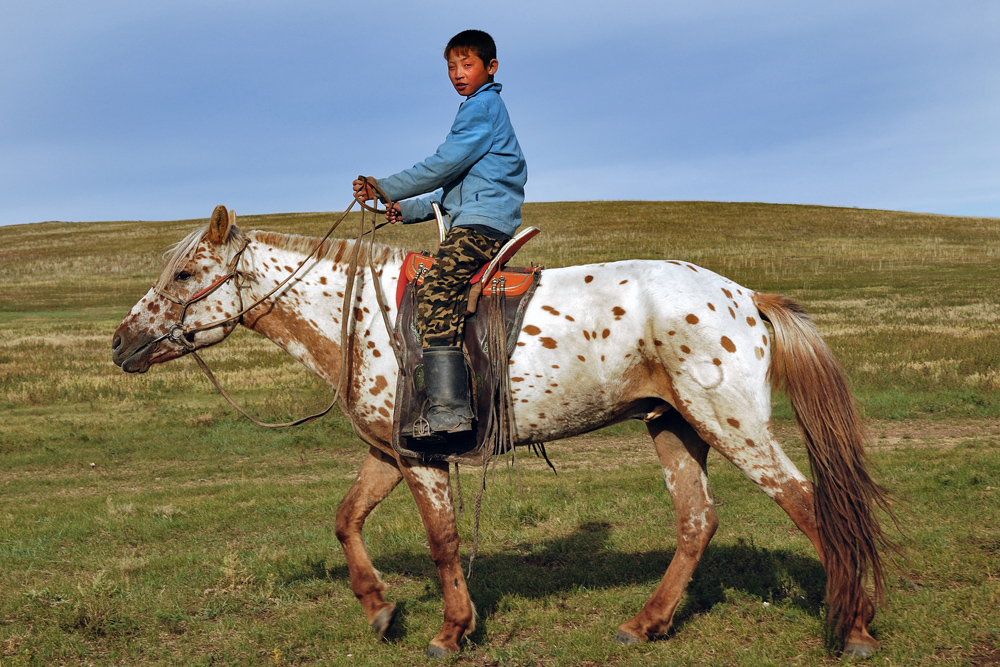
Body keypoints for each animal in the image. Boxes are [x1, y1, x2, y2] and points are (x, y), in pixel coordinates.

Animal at [109, 206, 892, 660]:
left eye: (186, 273)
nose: (121, 343)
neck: (355, 312)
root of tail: (745, 296)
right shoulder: (390, 450)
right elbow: (345, 518)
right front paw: (379, 608)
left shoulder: (423, 456)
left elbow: (442, 540)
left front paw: (451, 629)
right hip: (674, 425)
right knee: (698, 520)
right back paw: (644, 623)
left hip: (732, 421)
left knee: (809, 505)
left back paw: (853, 626)